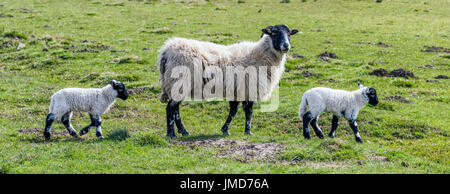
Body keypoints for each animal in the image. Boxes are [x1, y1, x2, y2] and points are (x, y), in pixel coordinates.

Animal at [157, 24, 298, 138]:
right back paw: (172, 134)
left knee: (175, 109)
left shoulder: (237, 90)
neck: (262, 55)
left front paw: (226, 130)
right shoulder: (249, 88)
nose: (286, 46)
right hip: (179, 82)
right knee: (171, 108)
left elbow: (233, 111)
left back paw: (184, 132)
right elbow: (248, 112)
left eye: (289, 34)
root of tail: (166, 51)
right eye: (274, 33)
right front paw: (248, 132)